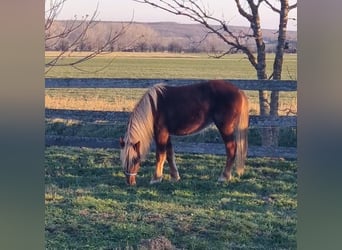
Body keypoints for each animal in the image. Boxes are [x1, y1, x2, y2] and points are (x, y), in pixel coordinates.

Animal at [120, 80, 248, 186]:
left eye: (135, 160)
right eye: (123, 160)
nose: (130, 182)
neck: (153, 107)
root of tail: (238, 91)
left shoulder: (161, 133)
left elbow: (160, 155)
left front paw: (156, 178)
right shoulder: (167, 134)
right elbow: (169, 155)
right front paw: (174, 177)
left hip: (225, 128)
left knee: (231, 149)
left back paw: (224, 177)